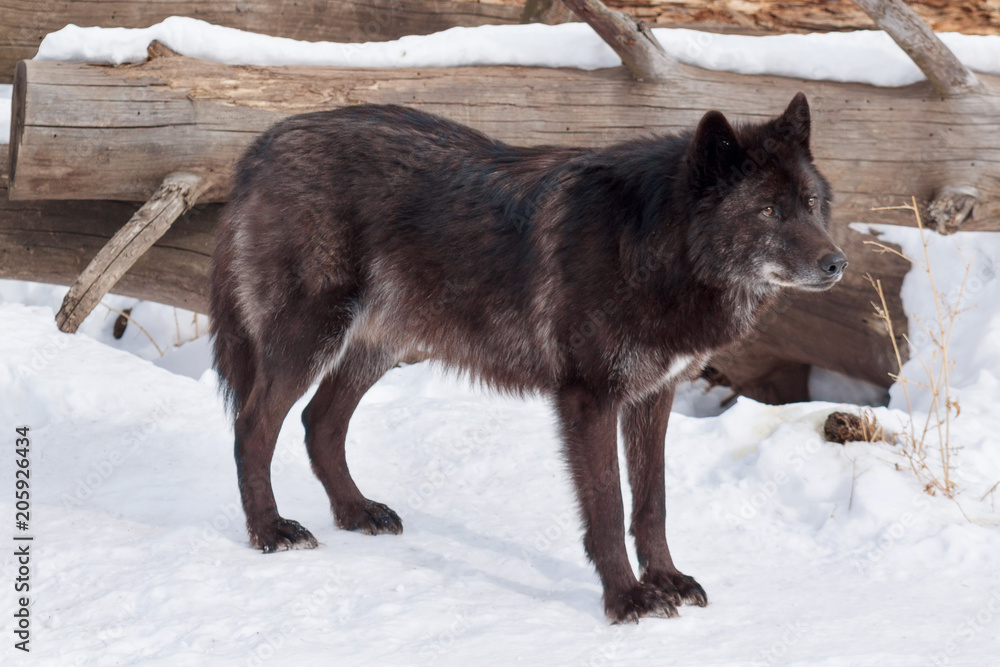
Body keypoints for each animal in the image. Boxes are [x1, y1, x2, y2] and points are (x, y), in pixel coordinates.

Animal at [210, 93, 845, 623]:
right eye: (767, 212)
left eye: (811, 202)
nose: (837, 263)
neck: (653, 247)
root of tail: (263, 144)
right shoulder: (589, 400)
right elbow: (608, 508)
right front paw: (627, 599)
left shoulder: (653, 395)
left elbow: (652, 504)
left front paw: (666, 578)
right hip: (309, 339)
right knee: (252, 425)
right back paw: (270, 531)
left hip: (375, 348)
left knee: (319, 423)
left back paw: (356, 512)